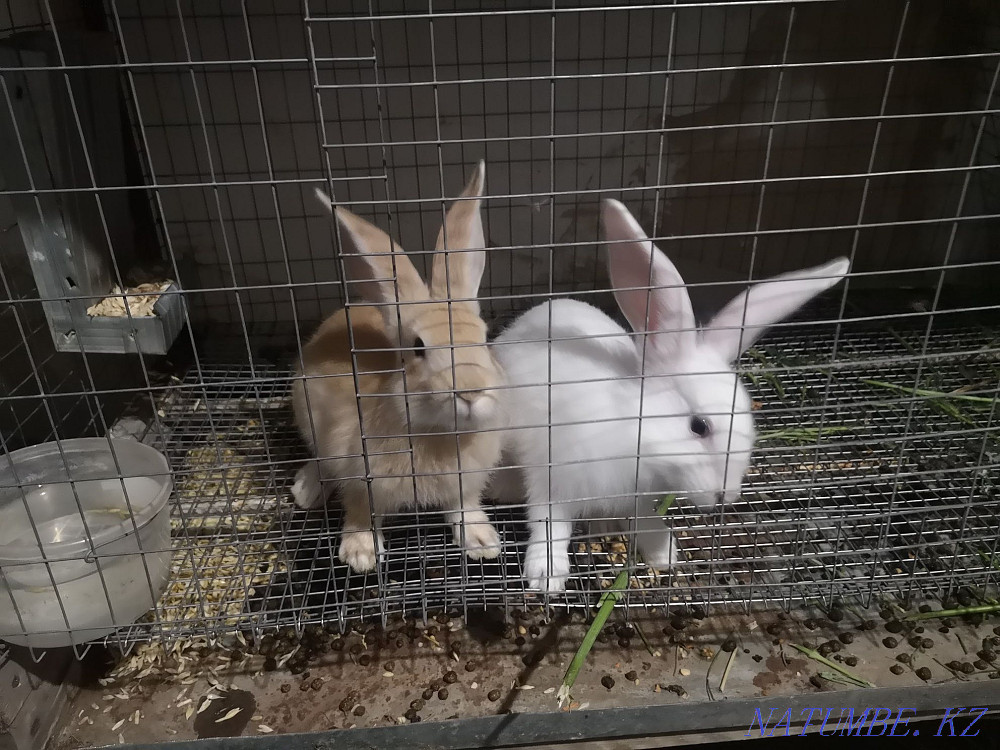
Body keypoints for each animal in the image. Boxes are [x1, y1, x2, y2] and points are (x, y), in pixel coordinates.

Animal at [291, 161, 507, 573]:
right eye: (418, 348)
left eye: (485, 336)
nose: (471, 391)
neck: (438, 432)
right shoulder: (357, 475)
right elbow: (359, 510)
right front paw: (360, 554)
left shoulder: (464, 483)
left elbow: (463, 507)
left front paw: (482, 542)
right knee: (319, 461)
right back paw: (306, 490)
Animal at [491, 198, 850, 592]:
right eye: (699, 426)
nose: (725, 498)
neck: (632, 427)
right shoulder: (554, 479)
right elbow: (550, 525)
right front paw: (546, 576)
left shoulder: (635, 497)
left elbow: (643, 519)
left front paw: (665, 552)